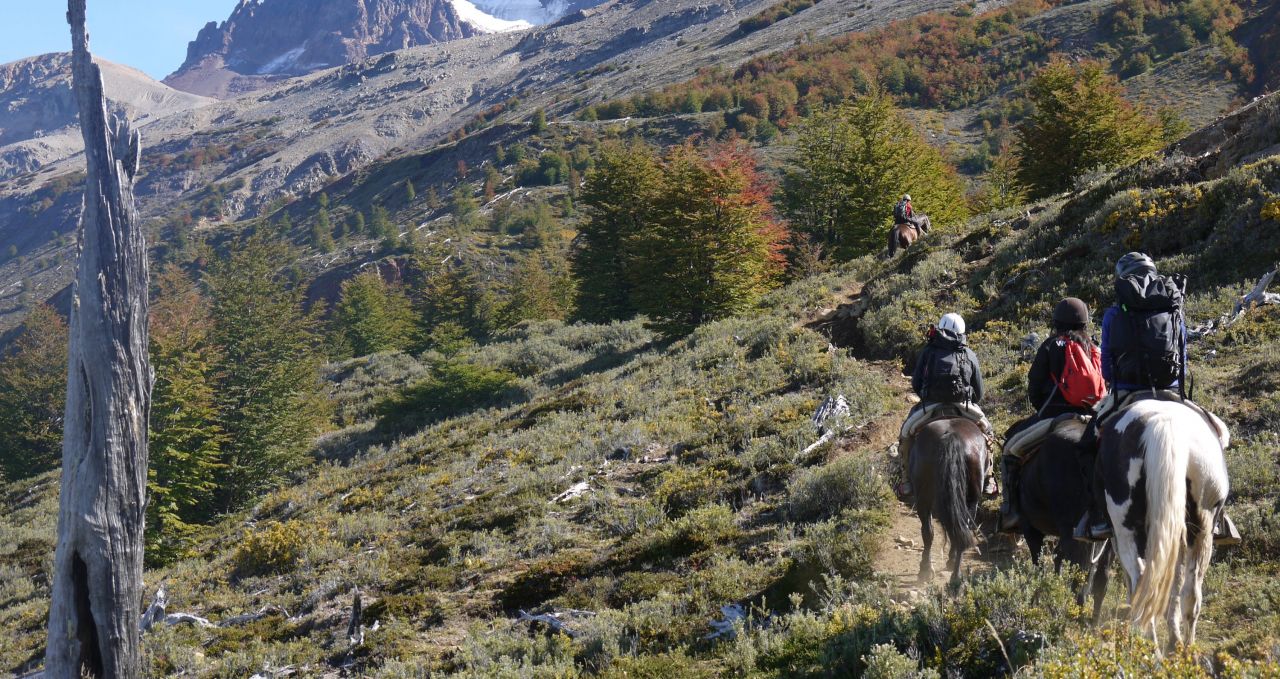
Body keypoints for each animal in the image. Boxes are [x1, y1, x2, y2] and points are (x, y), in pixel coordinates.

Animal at [906, 417, 983, 581]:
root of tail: (951, 435)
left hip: (923, 496)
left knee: (928, 532)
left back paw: (926, 570)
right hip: (970, 499)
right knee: (961, 531)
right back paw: (956, 577)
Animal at [1008, 412, 1111, 617]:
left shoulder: (1030, 528)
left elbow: (1039, 565)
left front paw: (1037, 602)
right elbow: (1057, 558)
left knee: (1081, 583)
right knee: (1100, 581)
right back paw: (1092, 622)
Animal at [1100, 397, 1228, 650]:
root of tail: (1164, 424)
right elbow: (1175, 584)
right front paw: (1173, 635)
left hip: (1127, 531)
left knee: (1143, 582)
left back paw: (1153, 646)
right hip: (1201, 530)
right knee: (1190, 591)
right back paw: (1184, 648)